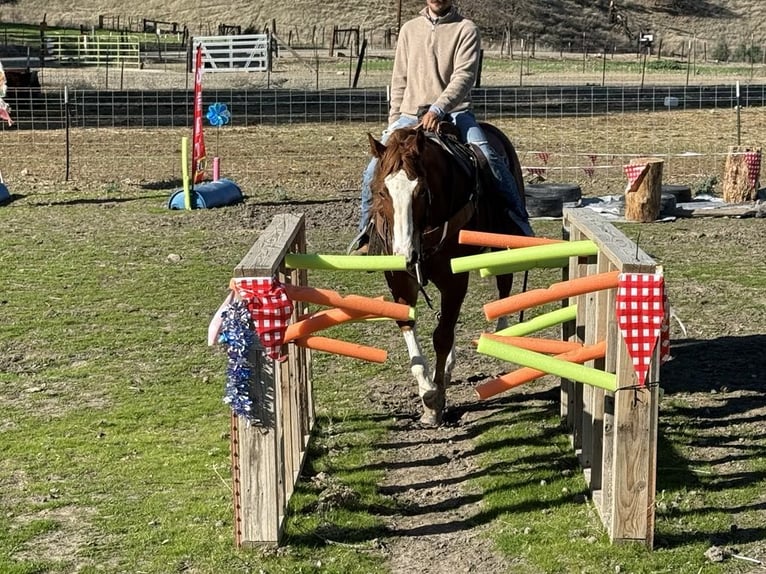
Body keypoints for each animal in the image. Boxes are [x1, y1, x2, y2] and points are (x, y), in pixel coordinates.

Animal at [366, 122, 528, 428]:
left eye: (420, 191)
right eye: (382, 191)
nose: (405, 256)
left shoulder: (454, 281)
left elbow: (442, 336)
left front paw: (436, 401)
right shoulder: (399, 282)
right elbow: (411, 325)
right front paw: (427, 393)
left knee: (504, 283)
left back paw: (501, 333)